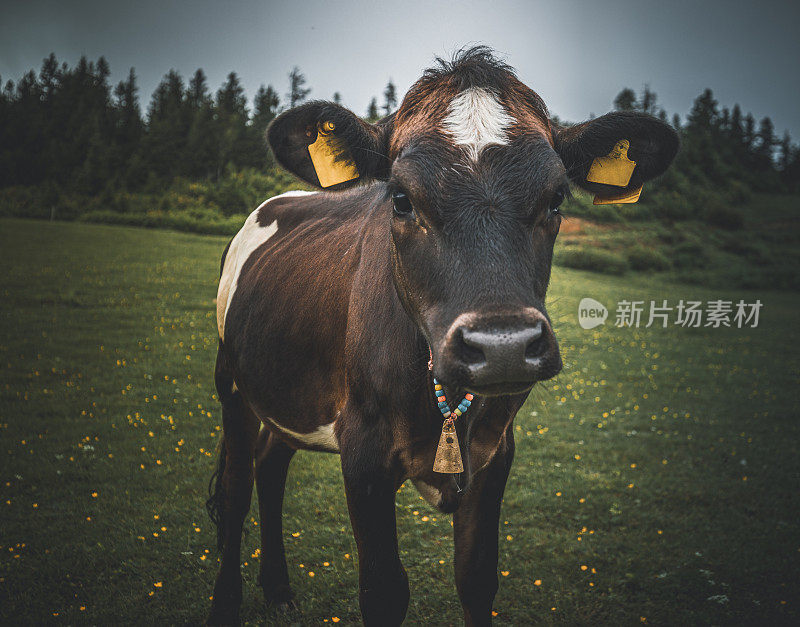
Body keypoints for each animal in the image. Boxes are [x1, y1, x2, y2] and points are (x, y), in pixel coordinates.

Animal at [205, 46, 676, 624]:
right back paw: (227, 602)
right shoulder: (363, 450)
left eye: (557, 198)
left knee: (270, 465)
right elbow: (384, 590)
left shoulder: (496, 451)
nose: (503, 347)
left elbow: (476, 577)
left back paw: (278, 589)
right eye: (401, 199)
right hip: (232, 383)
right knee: (237, 487)